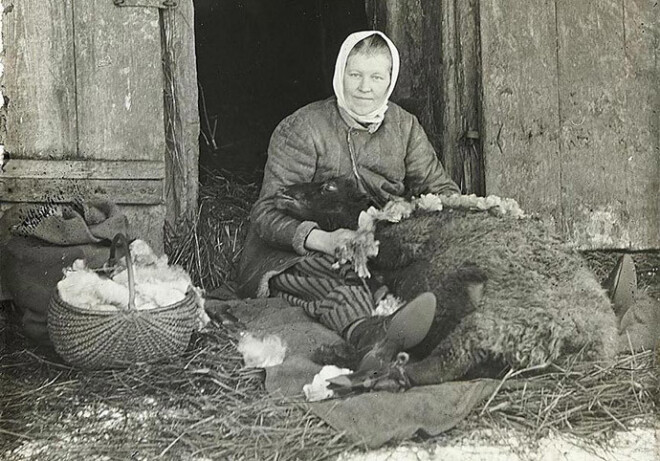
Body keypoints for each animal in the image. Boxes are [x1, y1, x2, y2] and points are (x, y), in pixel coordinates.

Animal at [274, 179, 620, 384]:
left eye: (329, 186)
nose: (283, 192)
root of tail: (587, 344)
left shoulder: (402, 242)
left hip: (492, 326)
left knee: (441, 365)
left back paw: (384, 367)